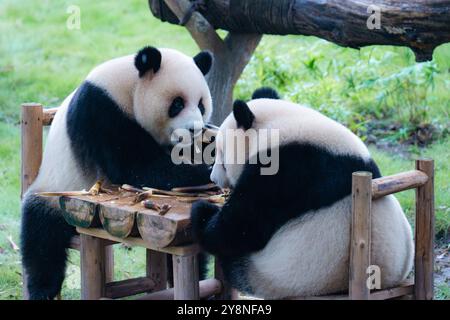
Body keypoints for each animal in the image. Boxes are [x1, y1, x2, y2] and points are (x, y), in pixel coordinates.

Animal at [22, 45, 215, 300]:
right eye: (177, 104)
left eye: (201, 104)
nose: (195, 129)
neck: (129, 87)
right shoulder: (102, 111)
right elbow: (134, 167)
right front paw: (205, 169)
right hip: (55, 190)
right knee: (41, 236)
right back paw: (42, 289)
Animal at [190, 87, 412, 298]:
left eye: (221, 154)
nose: (213, 178)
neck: (278, 128)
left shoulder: (289, 170)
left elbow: (244, 225)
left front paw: (204, 215)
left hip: (281, 275)